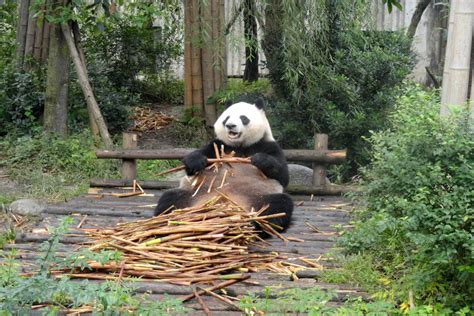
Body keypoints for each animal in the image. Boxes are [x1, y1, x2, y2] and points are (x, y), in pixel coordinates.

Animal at [155, 99, 292, 232]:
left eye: (243, 118)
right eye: (227, 118)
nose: (230, 125)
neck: (239, 145)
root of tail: (226, 202)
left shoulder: (267, 145)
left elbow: (283, 175)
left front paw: (260, 159)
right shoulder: (218, 145)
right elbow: (193, 166)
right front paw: (196, 161)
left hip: (259, 196)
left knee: (279, 205)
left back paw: (256, 224)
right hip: (191, 194)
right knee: (169, 199)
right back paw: (168, 220)